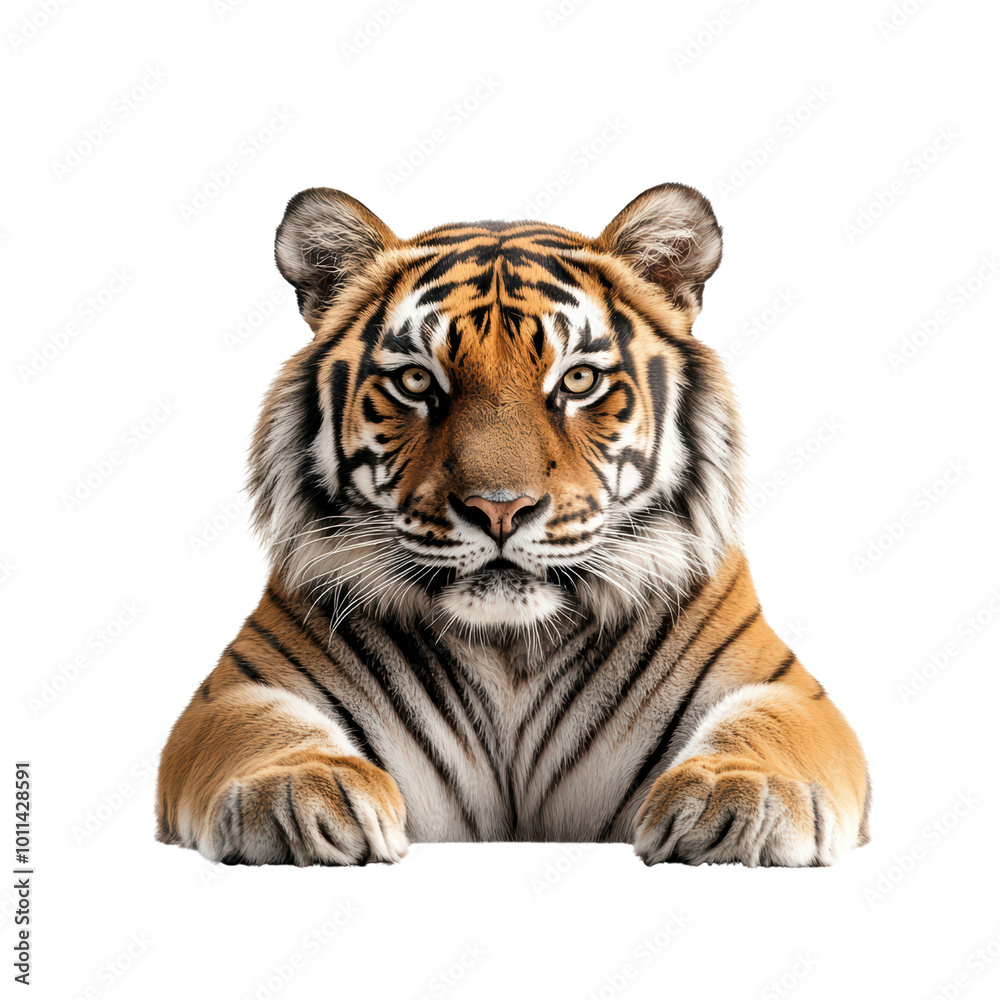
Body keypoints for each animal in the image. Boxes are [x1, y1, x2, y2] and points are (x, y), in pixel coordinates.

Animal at [156, 183, 871, 867]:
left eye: (577, 380)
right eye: (416, 380)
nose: (499, 508)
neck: (509, 651)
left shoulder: (785, 687)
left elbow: (767, 723)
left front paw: (741, 796)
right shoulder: (232, 691)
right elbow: (263, 727)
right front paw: (297, 792)